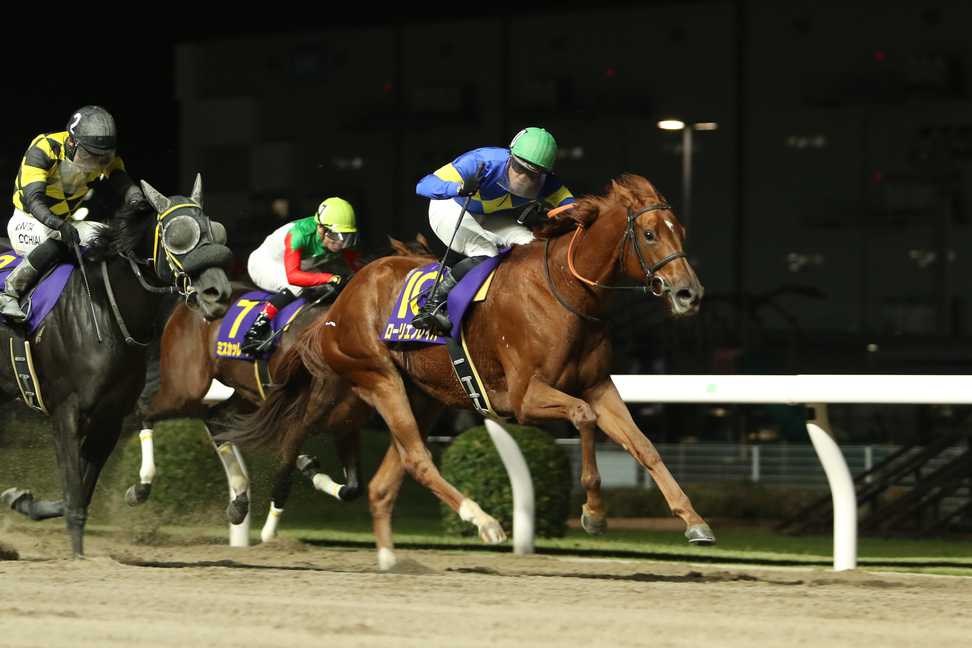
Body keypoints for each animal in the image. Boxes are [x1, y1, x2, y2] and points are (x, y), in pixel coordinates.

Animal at [0, 175, 234, 556]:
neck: (106, 310)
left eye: (215, 231)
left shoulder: (110, 417)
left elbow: (78, 493)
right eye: (178, 235)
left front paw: (21, 499)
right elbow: (74, 497)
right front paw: (77, 555)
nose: (219, 294)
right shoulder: (65, 411)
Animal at [230, 176, 712, 568]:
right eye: (649, 234)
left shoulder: (596, 385)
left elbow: (643, 446)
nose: (689, 293)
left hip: (422, 395)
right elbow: (584, 418)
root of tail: (337, 306)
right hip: (375, 378)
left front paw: (694, 521)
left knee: (387, 478)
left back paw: (391, 559)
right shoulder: (524, 397)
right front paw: (593, 513)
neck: (564, 290)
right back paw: (483, 521)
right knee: (412, 457)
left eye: (681, 231)